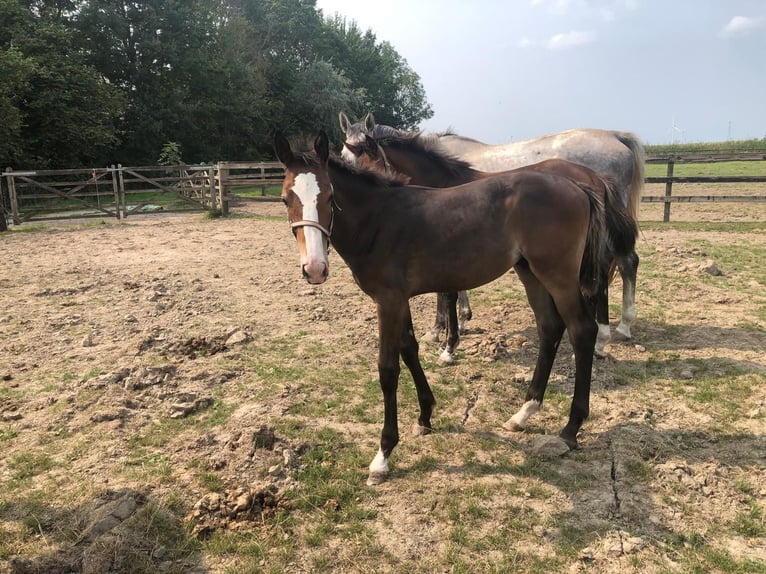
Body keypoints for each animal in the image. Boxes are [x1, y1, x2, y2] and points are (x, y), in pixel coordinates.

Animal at [274, 130, 636, 486]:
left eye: (329, 196)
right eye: (285, 199)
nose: (314, 269)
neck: (378, 219)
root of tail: (579, 185)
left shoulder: (388, 300)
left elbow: (388, 369)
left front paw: (383, 455)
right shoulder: (399, 299)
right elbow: (410, 348)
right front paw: (425, 415)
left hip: (558, 275)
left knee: (581, 330)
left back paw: (571, 427)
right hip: (529, 271)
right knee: (550, 327)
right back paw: (523, 413)